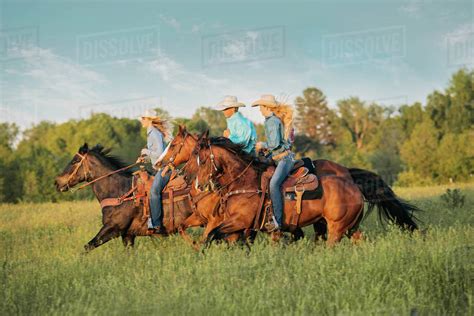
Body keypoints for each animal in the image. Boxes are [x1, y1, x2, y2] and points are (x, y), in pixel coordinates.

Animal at [193, 133, 418, 244]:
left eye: (201, 160)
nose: (199, 184)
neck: (245, 183)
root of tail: (352, 182)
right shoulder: (240, 226)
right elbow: (216, 236)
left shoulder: (240, 222)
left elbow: (212, 236)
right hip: (349, 227)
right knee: (360, 240)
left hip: (336, 228)